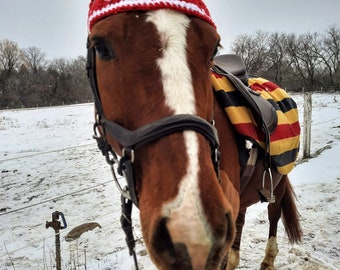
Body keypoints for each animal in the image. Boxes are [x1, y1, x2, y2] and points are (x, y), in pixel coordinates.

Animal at [86, 1, 302, 268]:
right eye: (101, 48)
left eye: (213, 48)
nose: (190, 231)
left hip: (279, 182)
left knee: (274, 214)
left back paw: (268, 260)